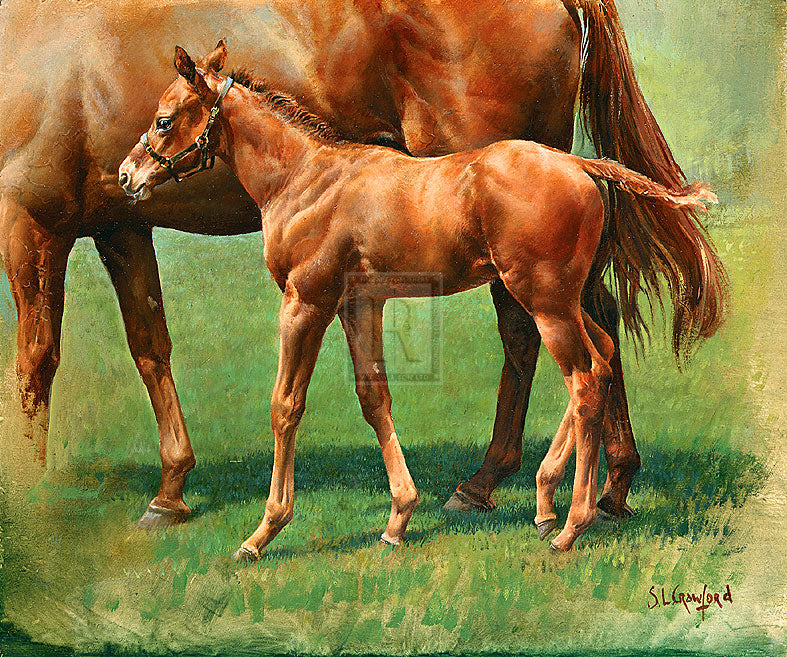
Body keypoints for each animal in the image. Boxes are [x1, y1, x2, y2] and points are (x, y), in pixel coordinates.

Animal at [1, 0, 708, 528]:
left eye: (167, 118)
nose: (126, 173)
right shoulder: (120, 225)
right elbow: (152, 346)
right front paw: (171, 491)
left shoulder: (32, 223)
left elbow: (37, 362)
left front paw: (29, 497)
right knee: (597, 333)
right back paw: (606, 488)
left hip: (526, 273)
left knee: (547, 344)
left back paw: (511, 490)